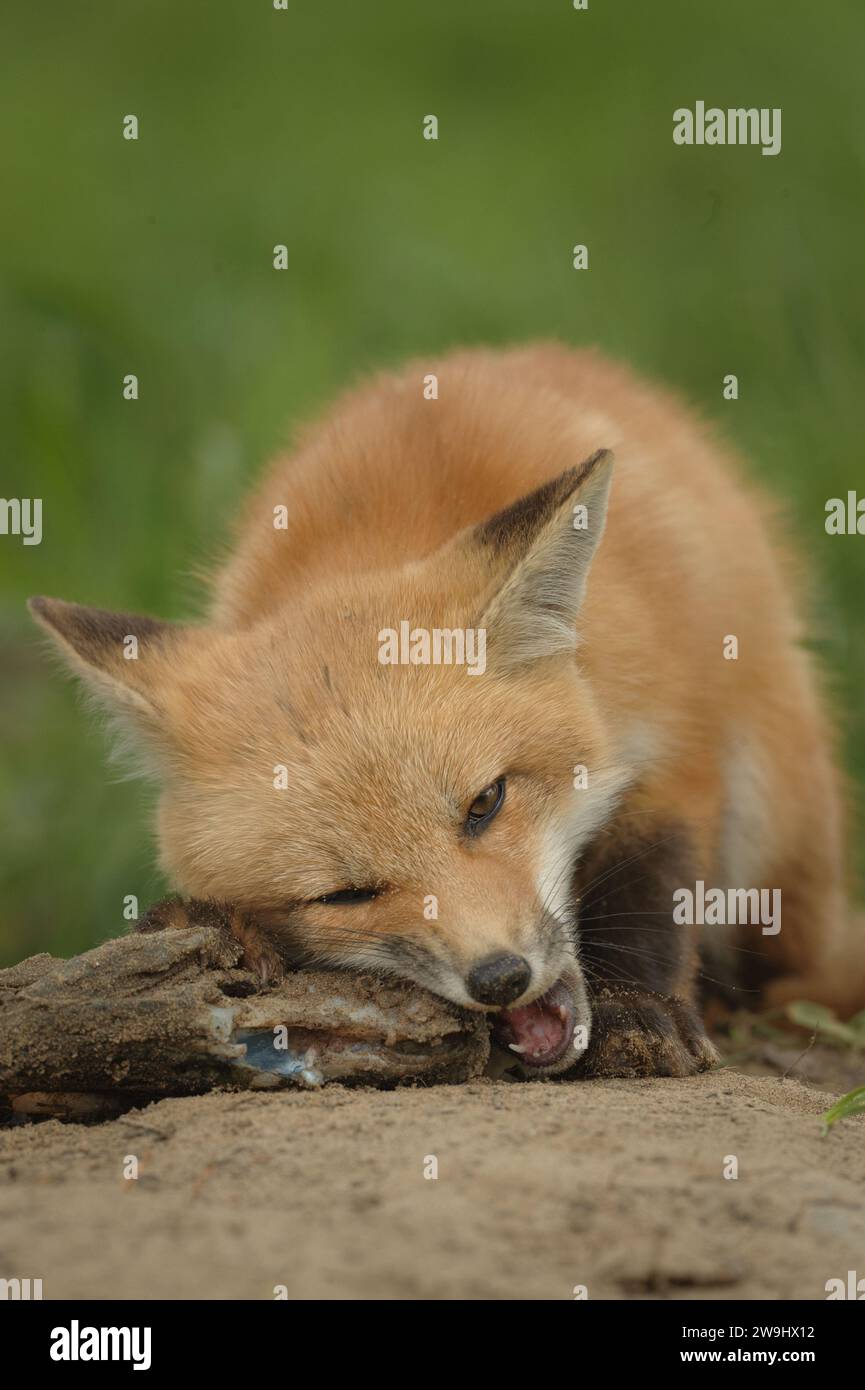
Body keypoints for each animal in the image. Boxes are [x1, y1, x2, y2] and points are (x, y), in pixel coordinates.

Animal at [29, 343, 865, 1078]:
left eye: (484, 804)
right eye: (345, 895)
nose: (500, 977)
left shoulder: (673, 737)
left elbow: (649, 884)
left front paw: (639, 1011)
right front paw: (205, 926)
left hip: (773, 815)